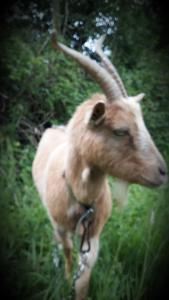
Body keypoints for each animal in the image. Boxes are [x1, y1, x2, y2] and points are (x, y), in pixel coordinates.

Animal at [31, 35, 166, 300]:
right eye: (121, 131)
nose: (162, 172)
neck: (81, 199)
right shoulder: (61, 226)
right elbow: (67, 252)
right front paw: (64, 279)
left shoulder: (93, 235)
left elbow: (84, 277)